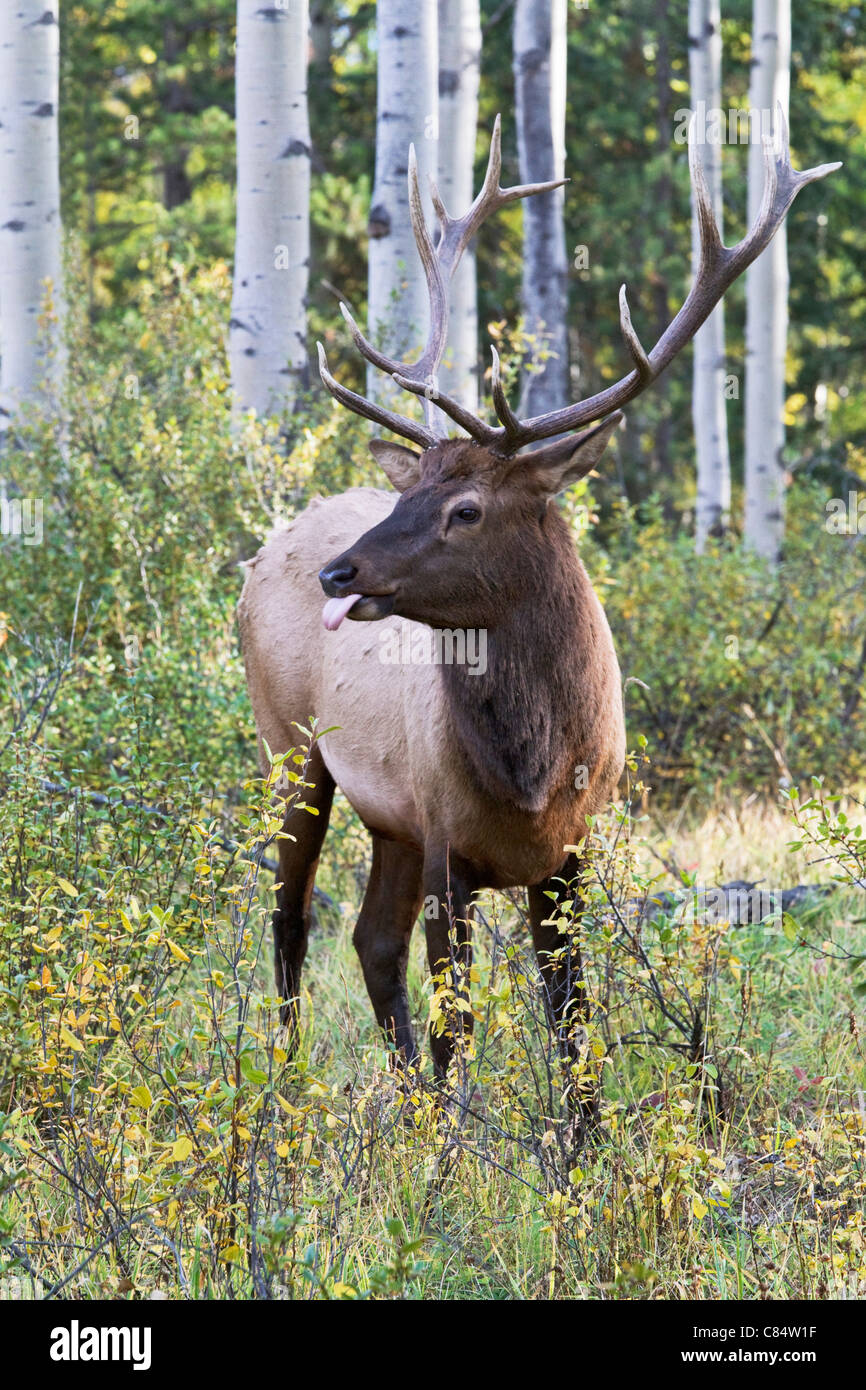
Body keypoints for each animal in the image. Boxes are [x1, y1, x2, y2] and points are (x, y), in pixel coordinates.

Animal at [239, 113, 839, 1100]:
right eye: (413, 491)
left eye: (465, 509)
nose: (338, 573)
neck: (535, 774)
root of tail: (266, 548)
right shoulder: (448, 846)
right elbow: (459, 1032)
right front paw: (447, 1142)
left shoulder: (568, 858)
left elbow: (573, 1028)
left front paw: (579, 1140)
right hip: (289, 751)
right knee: (289, 919)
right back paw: (282, 1091)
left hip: (387, 817)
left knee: (369, 940)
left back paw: (391, 1097)